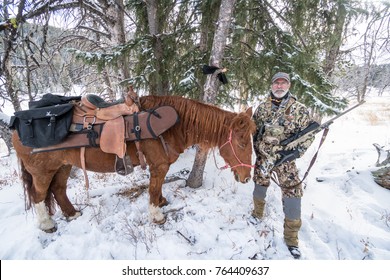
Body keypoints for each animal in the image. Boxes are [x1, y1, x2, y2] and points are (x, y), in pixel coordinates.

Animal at [11, 95, 256, 233]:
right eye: (242, 142)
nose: (246, 178)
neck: (174, 125)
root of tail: (15, 123)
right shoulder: (159, 166)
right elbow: (154, 188)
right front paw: (156, 215)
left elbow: (158, 188)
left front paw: (162, 202)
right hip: (42, 171)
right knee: (39, 195)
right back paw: (47, 225)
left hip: (64, 165)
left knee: (59, 189)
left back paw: (72, 214)